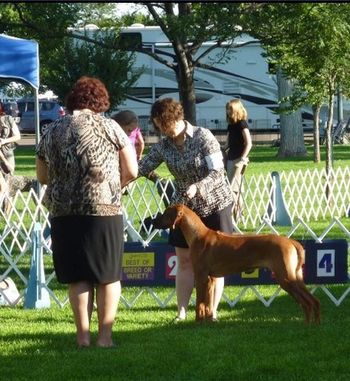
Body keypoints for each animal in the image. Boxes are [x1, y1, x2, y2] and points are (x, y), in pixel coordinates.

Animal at [152, 203, 320, 322]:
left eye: (165, 213)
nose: (152, 221)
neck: (197, 234)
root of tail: (291, 241)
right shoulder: (210, 279)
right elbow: (208, 304)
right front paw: (208, 321)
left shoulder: (201, 276)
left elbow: (200, 303)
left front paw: (197, 322)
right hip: (294, 277)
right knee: (313, 301)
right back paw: (313, 325)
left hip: (285, 277)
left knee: (307, 302)